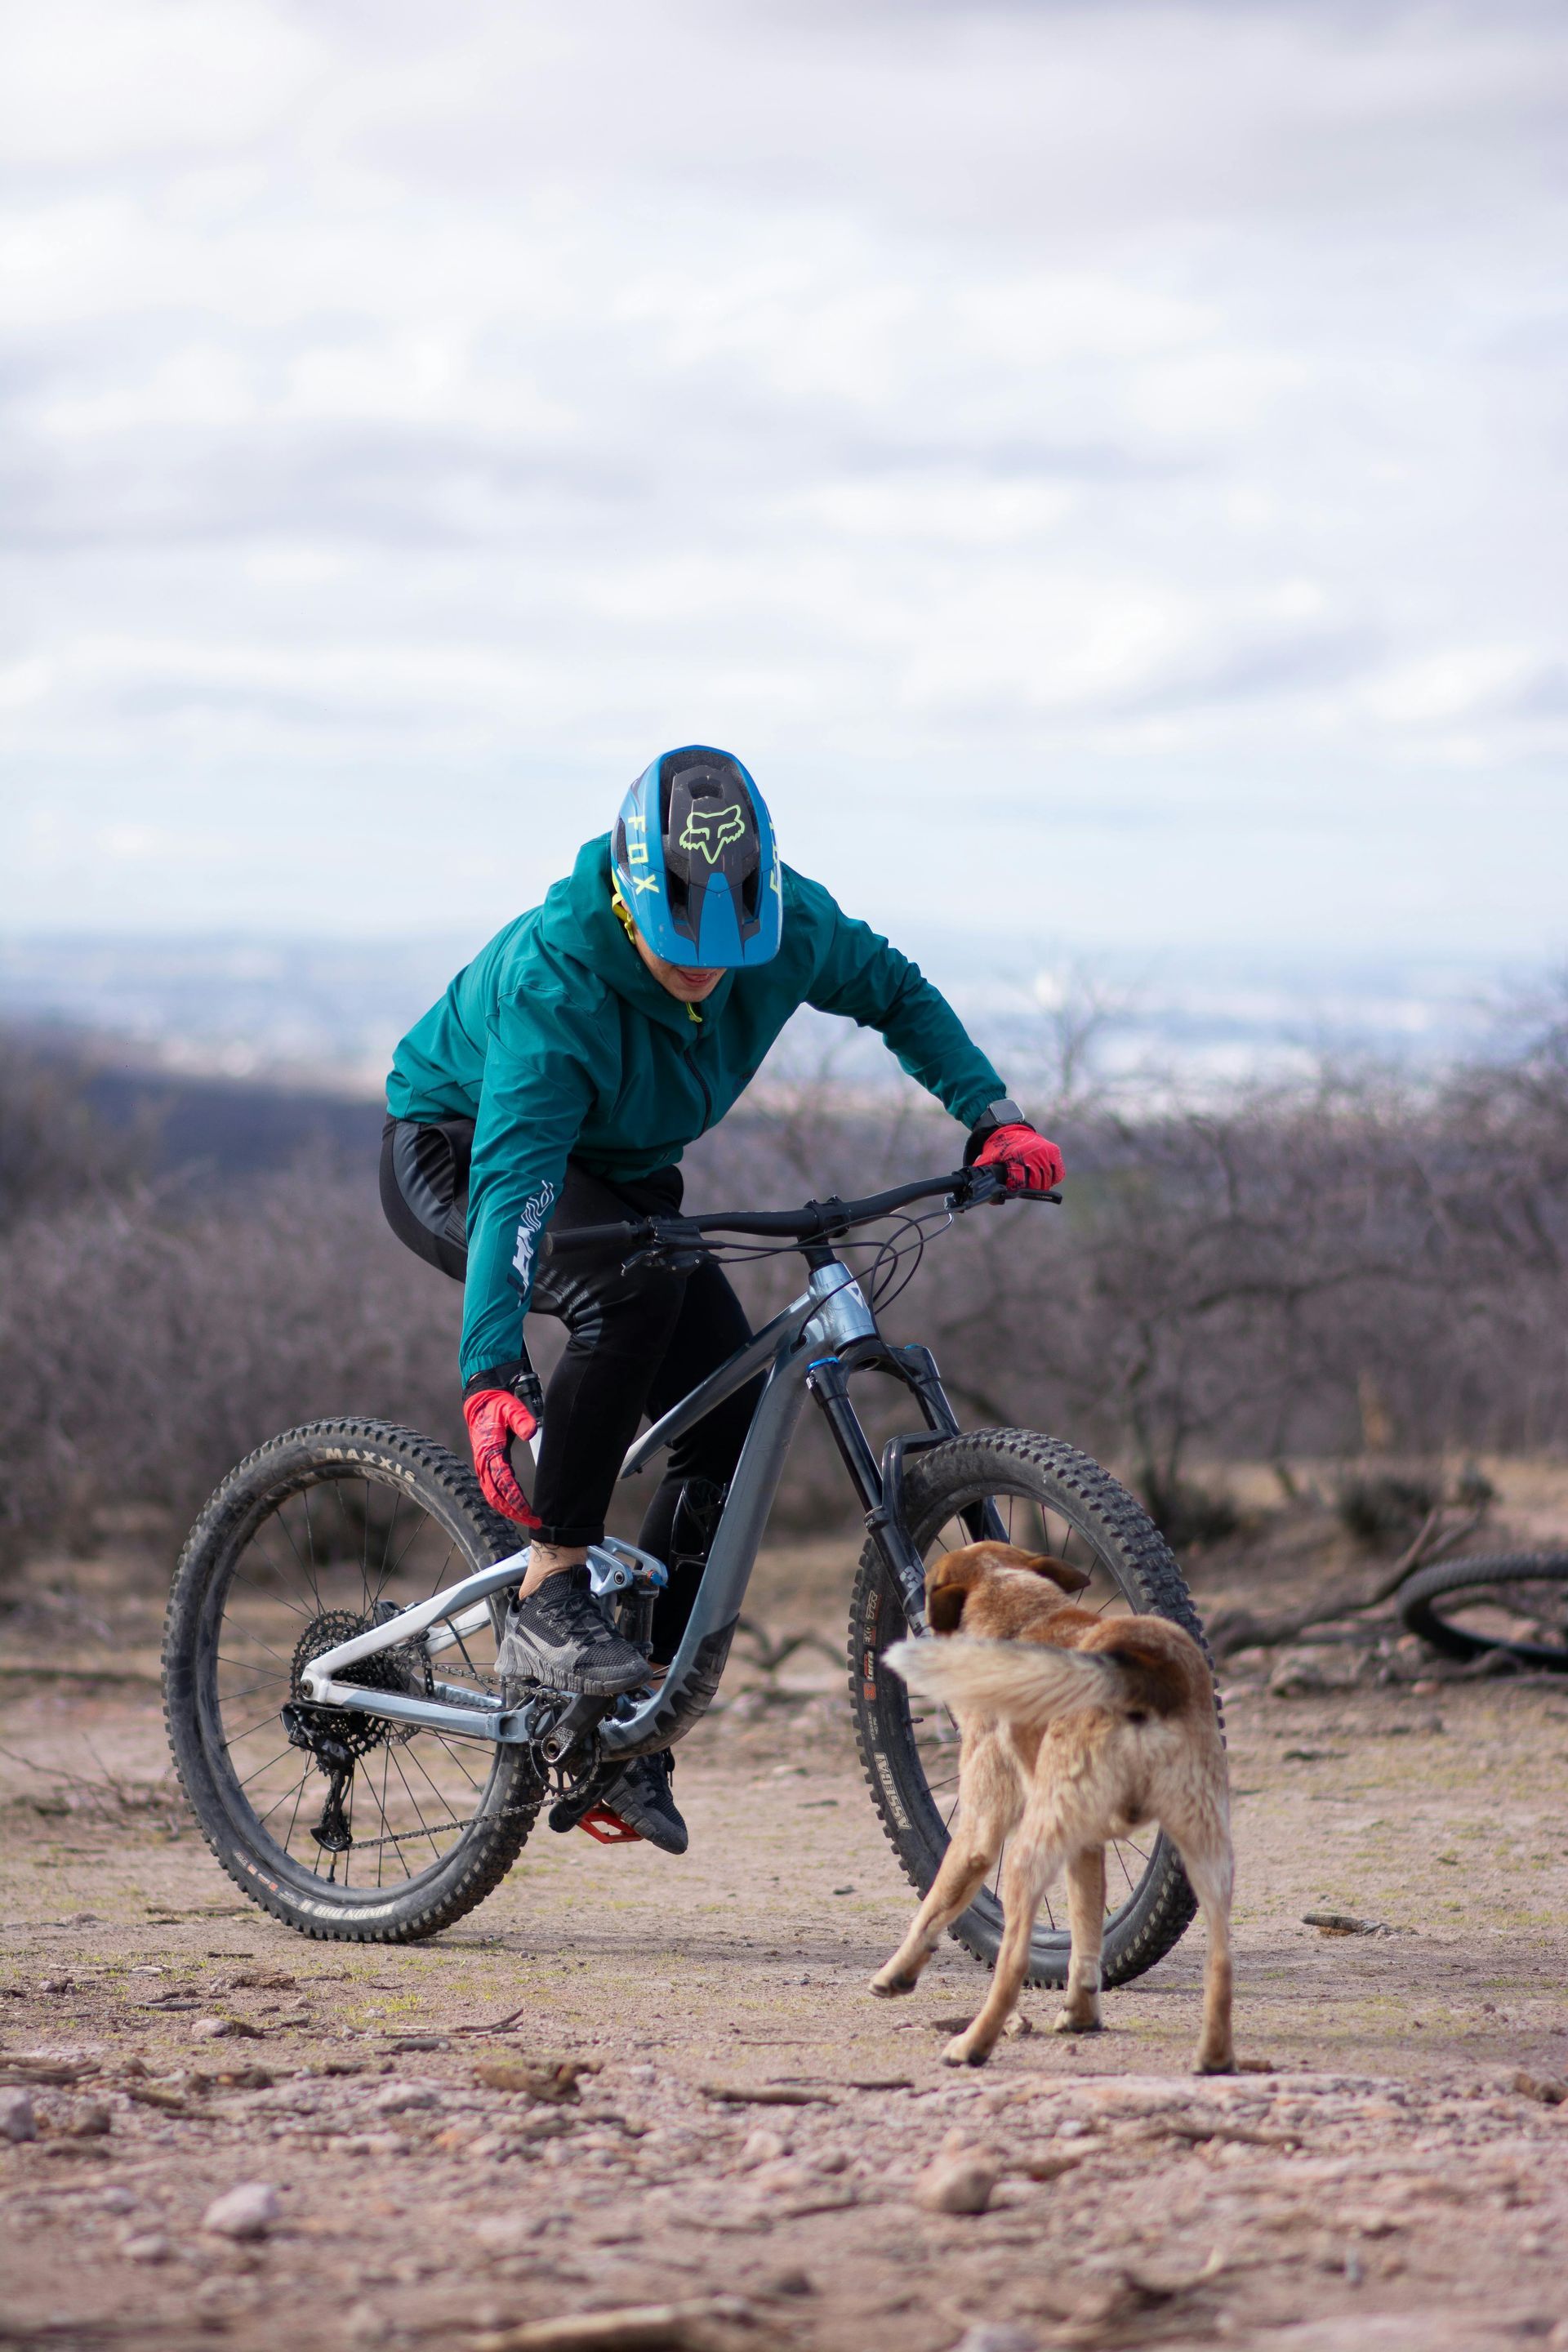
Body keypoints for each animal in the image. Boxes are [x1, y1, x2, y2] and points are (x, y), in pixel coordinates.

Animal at [870, 1543, 1241, 2078]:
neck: (1018, 1610)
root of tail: (1140, 1671)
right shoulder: (1086, 1845)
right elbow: (1086, 1933)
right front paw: (1082, 2013)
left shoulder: (980, 1830)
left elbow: (935, 1902)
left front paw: (897, 1972)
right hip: (1205, 1852)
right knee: (1221, 1961)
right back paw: (1214, 2056)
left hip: (1027, 1854)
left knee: (1012, 1964)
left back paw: (972, 2044)